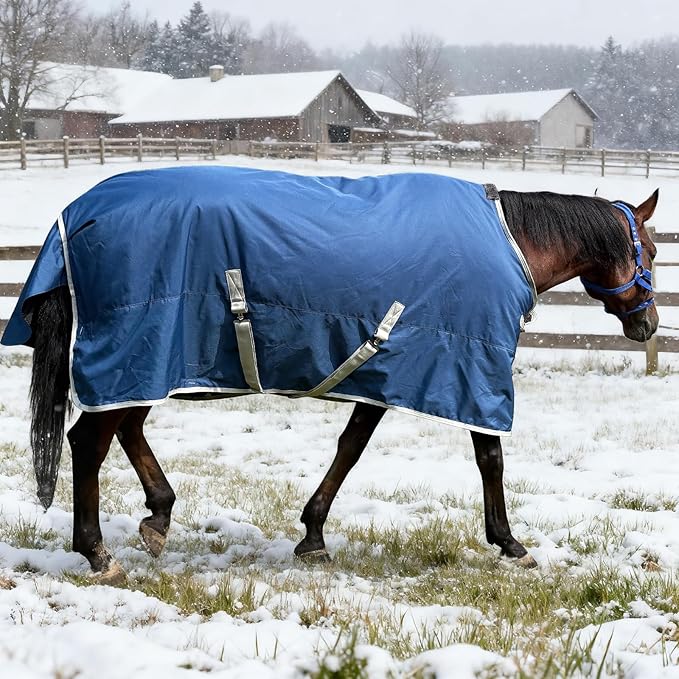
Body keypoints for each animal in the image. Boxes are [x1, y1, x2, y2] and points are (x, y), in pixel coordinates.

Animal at [1, 166, 658, 584]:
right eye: (649, 250)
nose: (648, 325)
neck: (507, 241)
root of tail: (78, 214)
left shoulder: (387, 372)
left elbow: (351, 446)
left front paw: (312, 534)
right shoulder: (471, 373)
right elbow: (489, 457)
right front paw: (510, 542)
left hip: (147, 365)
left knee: (121, 432)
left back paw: (158, 516)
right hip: (137, 353)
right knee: (89, 442)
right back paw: (97, 552)